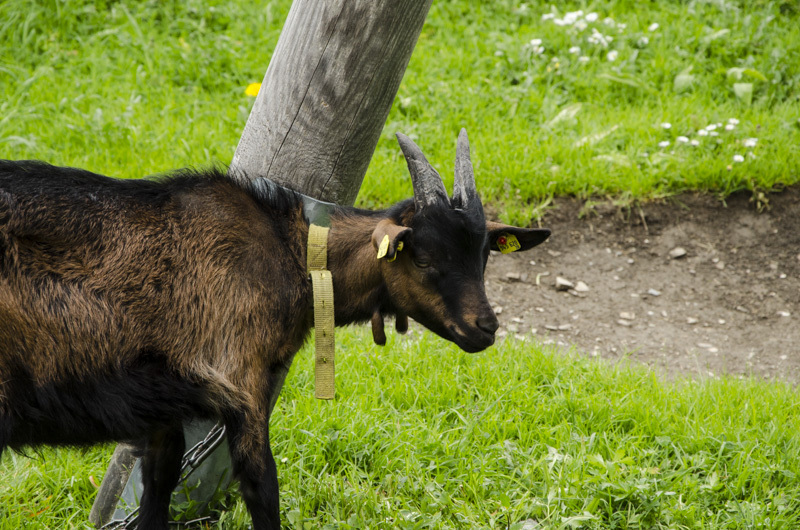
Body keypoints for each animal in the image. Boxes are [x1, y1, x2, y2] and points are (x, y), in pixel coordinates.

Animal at [0, 130, 552, 524]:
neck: (290, 254)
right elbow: (262, 488)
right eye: (422, 257)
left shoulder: (163, 410)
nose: (484, 328)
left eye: (483, 255)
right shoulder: (240, 379)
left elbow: (157, 488)